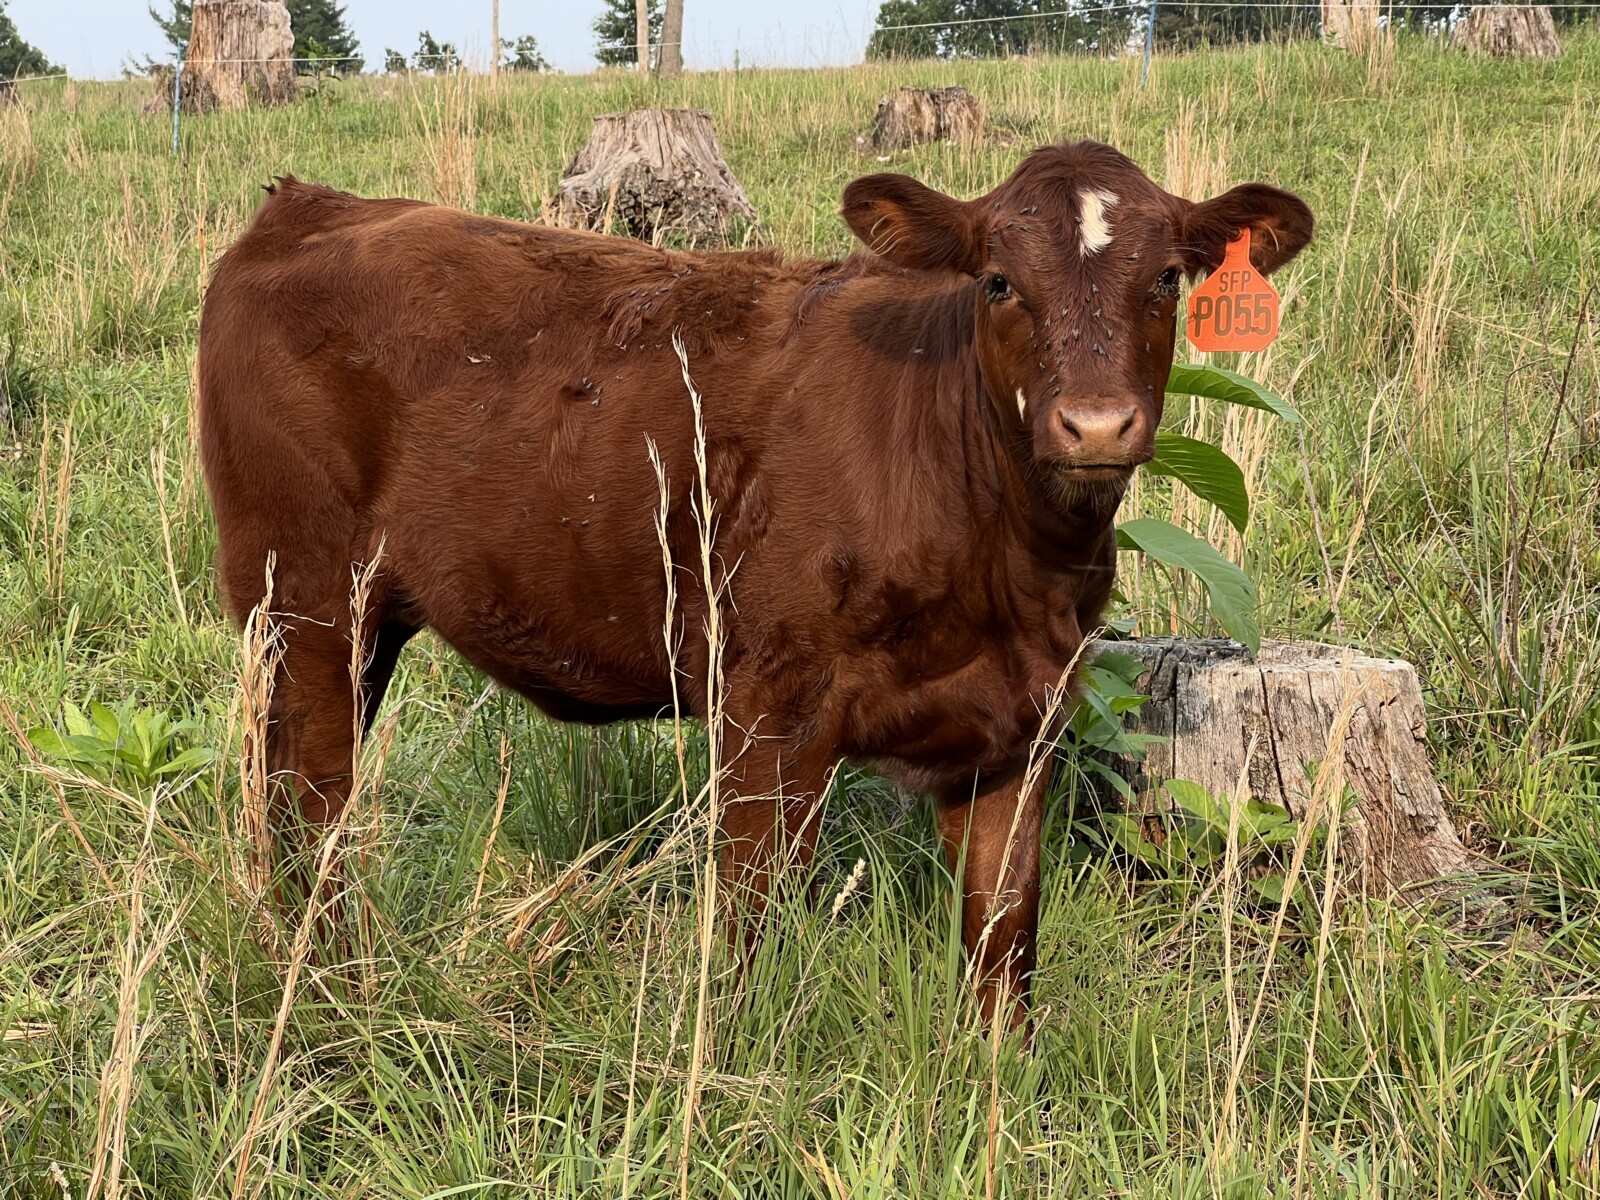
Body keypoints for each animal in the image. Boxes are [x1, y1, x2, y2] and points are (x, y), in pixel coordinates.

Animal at [198, 139, 1312, 1024]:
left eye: (1166, 279)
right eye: (997, 281)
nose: (1094, 424)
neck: (1005, 567)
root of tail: (312, 202)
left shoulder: (1021, 721)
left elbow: (1003, 940)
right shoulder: (768, 707)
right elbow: (748, 930)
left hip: (351, 623)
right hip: (300, 597)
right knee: (311, 799)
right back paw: (331, 984)